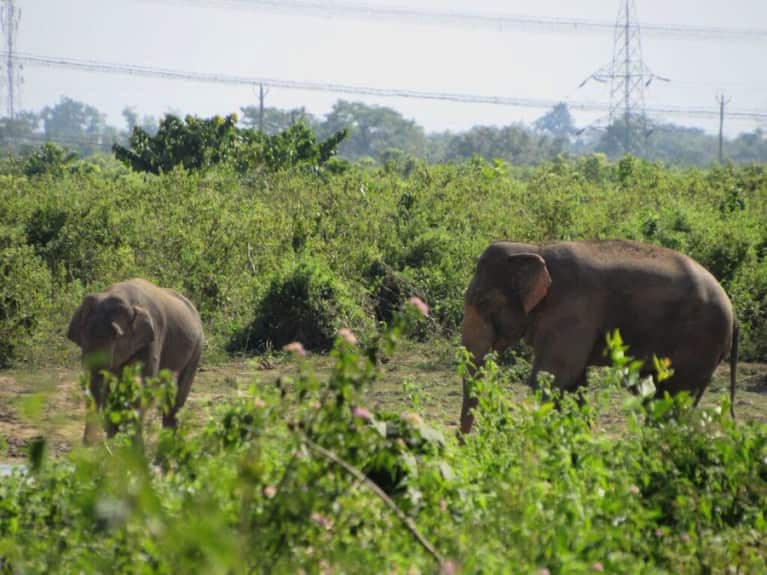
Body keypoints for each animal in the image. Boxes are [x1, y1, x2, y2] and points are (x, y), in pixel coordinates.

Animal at [67, 280, 204, 446]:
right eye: (83, 335)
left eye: (117, 335)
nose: (89, 443)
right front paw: (115, 438)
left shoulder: (154, 335)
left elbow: (143, 383)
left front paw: (132, 444)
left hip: (198, 346)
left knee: (180, 391)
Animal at [460, 241, 740, 434]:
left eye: (483, 302)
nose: (462, 446)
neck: (535, 248)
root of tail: (734, 312)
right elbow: (574, 382)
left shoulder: (572, 312)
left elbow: (552, 376)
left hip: (700, 343)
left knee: (676, 397)